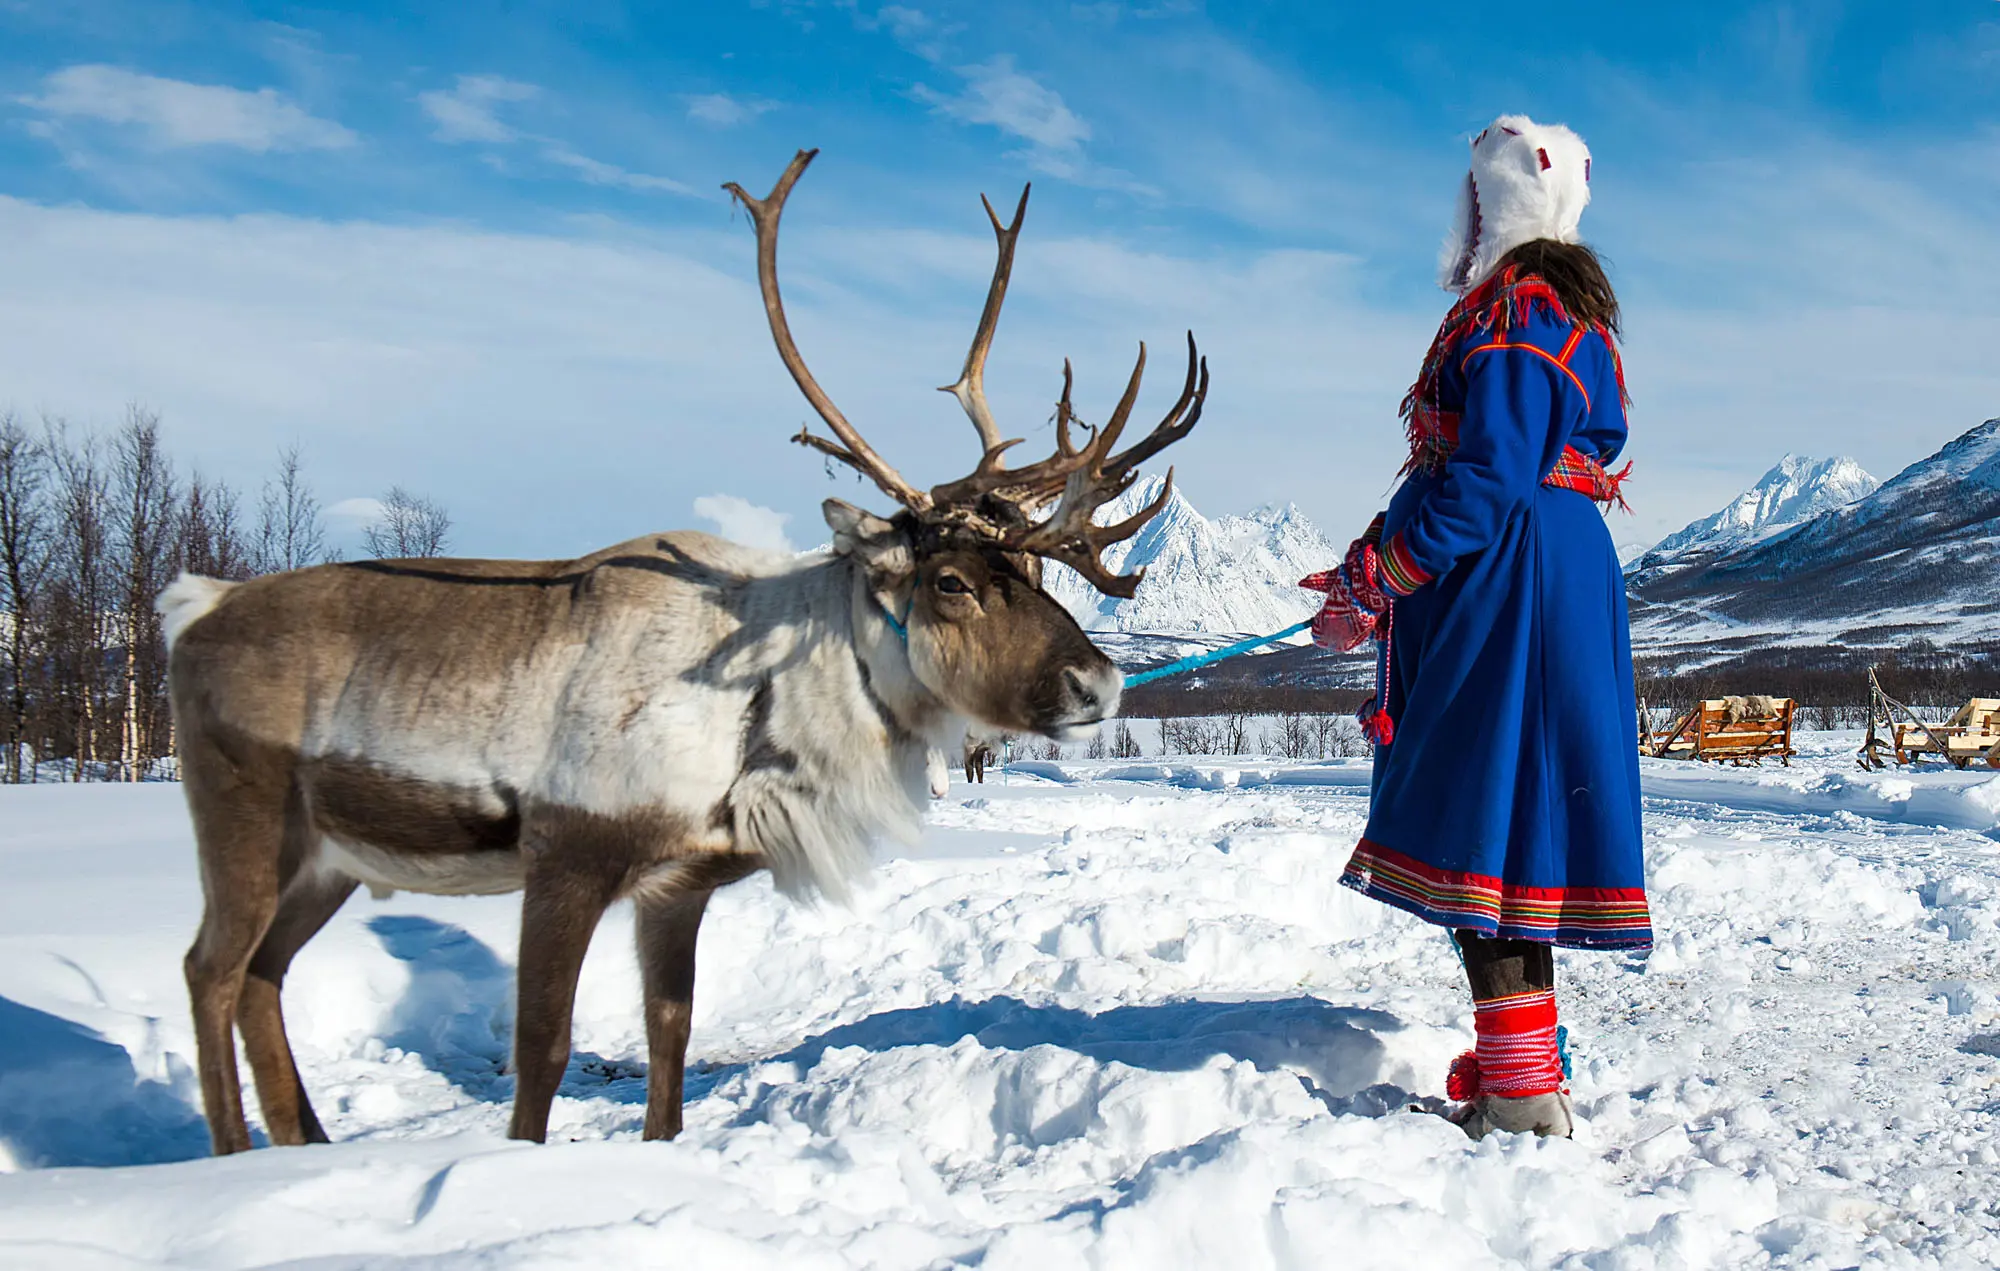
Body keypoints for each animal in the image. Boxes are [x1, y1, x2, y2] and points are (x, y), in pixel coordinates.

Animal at [158, 149, 1208, 1156]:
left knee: (262, 976)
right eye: (950, 580)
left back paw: (301, 1145)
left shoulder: (677, 885)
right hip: (243, 813)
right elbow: (542, 1051)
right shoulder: (565, 855)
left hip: (325, 856)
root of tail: (198, 610)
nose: (1099, 679)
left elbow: (670, 1037)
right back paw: (236, 1153)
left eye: (1033, 571)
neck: (757, 720)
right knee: (212, 967)